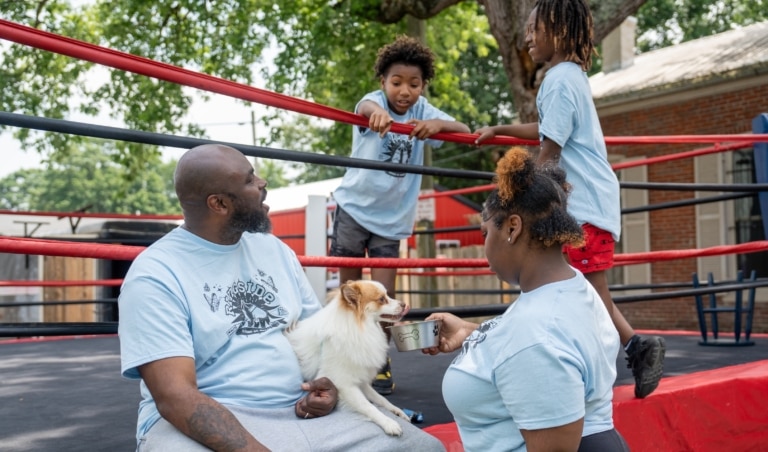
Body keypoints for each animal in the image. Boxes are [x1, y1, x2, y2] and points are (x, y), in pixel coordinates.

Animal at [284, 278, 412, 434]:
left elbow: (381, 399)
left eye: (387, 295)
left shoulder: (360, 381)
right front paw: (388, 422)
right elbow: (368, 406)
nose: (404, 304)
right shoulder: (345, 385)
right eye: (382, 299)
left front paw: (397, 411)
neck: (359, 327)